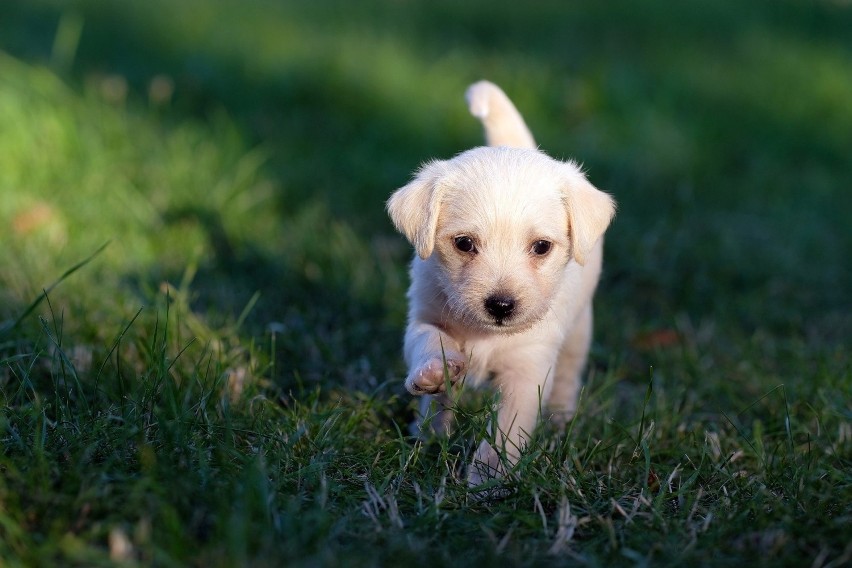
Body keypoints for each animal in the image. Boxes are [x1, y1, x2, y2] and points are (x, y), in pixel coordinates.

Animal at [384, 82, 612, 486]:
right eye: (464, 243)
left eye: (542, 247)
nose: (501, 306)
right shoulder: (425, 315)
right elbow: (429, 341)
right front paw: (435, 372)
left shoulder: (527, 370)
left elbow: (505, 431)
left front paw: (487, 480)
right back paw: (428, 432)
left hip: (579, 331)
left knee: (568, 375)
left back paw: (560, 419)